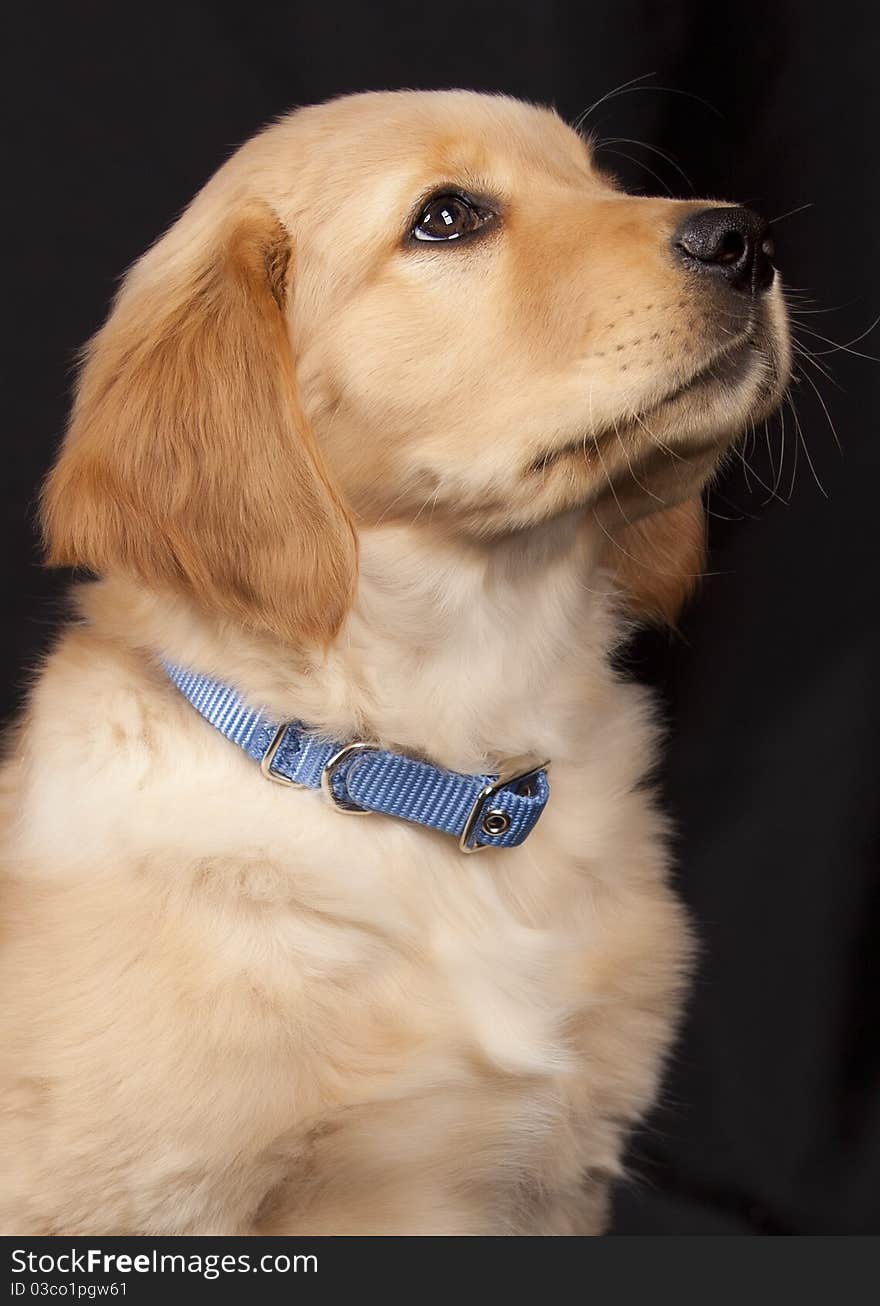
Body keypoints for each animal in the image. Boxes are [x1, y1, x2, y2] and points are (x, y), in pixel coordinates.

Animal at [0, 92, 788, 1232]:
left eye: (601, 181)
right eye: (447, 218)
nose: (746, 240)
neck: (431, 779)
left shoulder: (560, 1176)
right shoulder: (139, 1199)